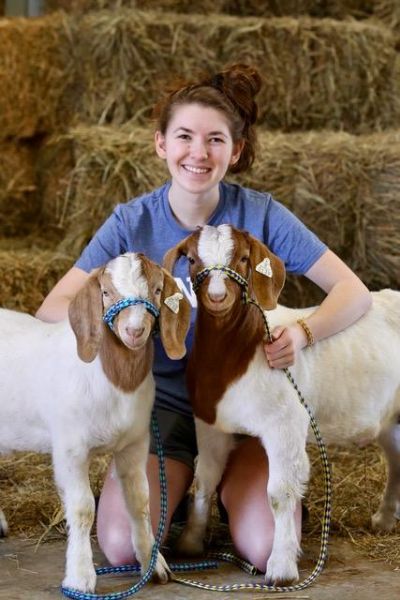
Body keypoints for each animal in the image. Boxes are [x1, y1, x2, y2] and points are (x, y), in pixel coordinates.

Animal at [0, 251, 191, 592]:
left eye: (157, 290)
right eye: (106, 292)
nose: (134, 330)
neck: (113, 381)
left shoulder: (135, 444)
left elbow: (140, 501)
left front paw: (153, 564)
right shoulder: (70, 448)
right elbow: (83, 508)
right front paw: (80, 577)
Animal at [164, 225, 400, 584]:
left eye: (243, 258)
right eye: (191, 259)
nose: (217, 296)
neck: (237, 355)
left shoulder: (284, 425)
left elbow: (279, 493)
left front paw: (282, 566)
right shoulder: (210, 423)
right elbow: (204, 479)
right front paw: (190, 541)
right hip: (390, 420)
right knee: (397, 459)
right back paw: (384, 519)